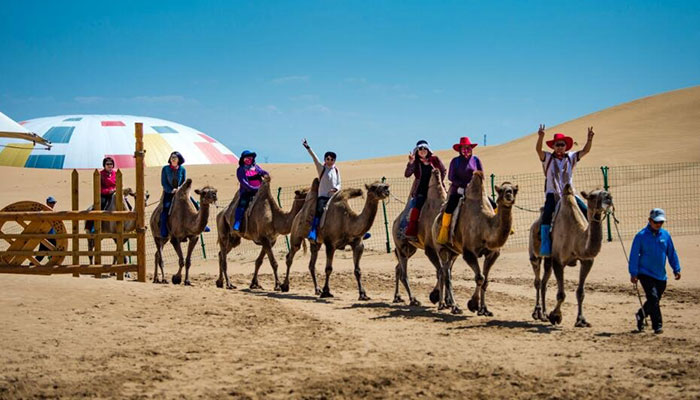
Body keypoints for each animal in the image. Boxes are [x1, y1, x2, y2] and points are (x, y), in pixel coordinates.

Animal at [392, 169, 446, 306]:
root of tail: (395, 222)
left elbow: (442, 271)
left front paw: (438, 298)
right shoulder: (430, 248)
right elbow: (441, 272)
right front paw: (438, 299)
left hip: (411, 249)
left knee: (398, 269)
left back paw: (397, 297)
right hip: (401, 247)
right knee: (403, 274)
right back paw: (413, 299)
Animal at [432, 172, 520, 316]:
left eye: (515, 190)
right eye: (500, 190)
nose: (509, 195)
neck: (485, 225)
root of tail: (436, 219)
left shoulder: (493, 253)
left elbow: (486, 281)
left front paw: (484, 309)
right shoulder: (469, 252)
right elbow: (479, 277)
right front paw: (472, 305)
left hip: (454, 252)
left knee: (445, 271)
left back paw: (444, 304)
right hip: (441, 248)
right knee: (445, 273)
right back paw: (451, 306)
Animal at [532, 184, 612, 328]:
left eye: (606, 192)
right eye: (592, 196)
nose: (608, 197)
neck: (576, 237)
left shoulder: (587, 261)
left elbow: (580, 293)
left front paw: (581, 320)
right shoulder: (558, 261)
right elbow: (561, 295)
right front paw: (556, 316)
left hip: (548, 260)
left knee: (544, 282)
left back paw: (544, 314)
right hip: (535, 255)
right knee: (537, 280)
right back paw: (537, 312)